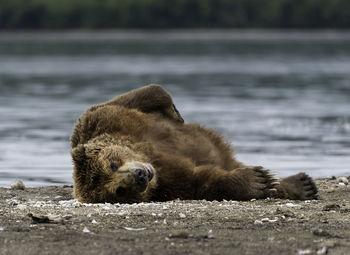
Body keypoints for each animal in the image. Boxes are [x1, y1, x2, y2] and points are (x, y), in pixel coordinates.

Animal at [70, 84, 318, 204]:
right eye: (118, 191)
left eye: (112, 164)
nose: (140, 176)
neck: (146, 154)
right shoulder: (168, 183)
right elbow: (202, 181)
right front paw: (255, 180)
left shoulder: (104, 121)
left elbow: (146, 94)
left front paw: (175, 113)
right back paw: (295, 184)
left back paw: (302, 184)